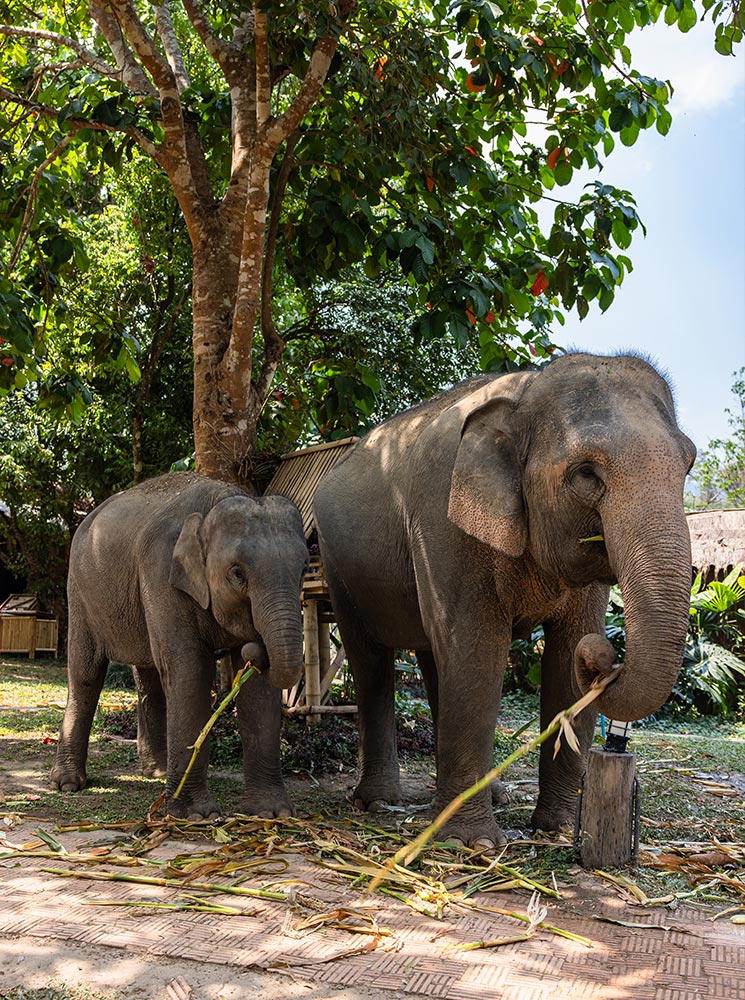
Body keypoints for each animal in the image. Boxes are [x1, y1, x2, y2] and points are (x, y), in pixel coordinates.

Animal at [52, 472, 306, 816]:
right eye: (237, 573)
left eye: (305, 568)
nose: (255, 650)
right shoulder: (161, 573)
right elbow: (189, 670)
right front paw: (195, 815)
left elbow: (258, 689)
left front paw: (271, 813)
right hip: (80, 591)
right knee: (86, 674)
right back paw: (68, 783)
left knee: (148, 674)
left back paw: (157, 772)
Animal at [314, 356, 696, 848]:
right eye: (586, 473)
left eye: (688, 464)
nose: (603, 656)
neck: (527, 390)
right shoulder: (444, 520)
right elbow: (477, 650)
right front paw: (471, 843)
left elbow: (564, 658)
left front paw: (558, 829)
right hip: (338, 567)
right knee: (372, 662)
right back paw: (380, 802)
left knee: (436, 657)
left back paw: (489, 794)